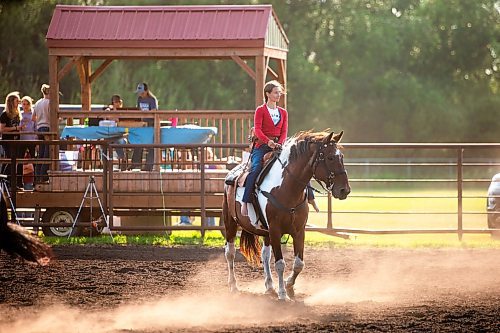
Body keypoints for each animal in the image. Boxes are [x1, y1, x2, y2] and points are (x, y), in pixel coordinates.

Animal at [225, 129, 350, 298]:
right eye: (330, 157)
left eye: (341, 157)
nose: (345, 190)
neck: (286, 189)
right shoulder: (275, 230)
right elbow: (280, 263)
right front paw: (283, 293)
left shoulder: (299, 231)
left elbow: (299, 263)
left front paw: (289, 286)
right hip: (230, 222)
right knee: (230, 252)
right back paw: (233, 285)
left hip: (265, 232)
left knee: (265, 255)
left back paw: (269, 286)